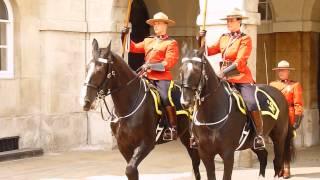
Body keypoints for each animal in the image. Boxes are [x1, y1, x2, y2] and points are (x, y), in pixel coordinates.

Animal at [80, 39, 200, 180]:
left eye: (100, 70)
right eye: (87, 68)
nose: (86, 101)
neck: (127, 106)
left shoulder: (147, 143)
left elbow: (130, 169)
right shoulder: (124, 145)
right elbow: (132, 171)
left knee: (196, 161)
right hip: (185, 134)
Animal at [179, 51, 294, 180]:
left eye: (196, 70)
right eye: (181, 70)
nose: (185, 101)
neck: (211, 114)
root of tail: (281, 94)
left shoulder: (228, 154)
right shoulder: (205, 153)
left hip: (279, 137)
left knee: (277, 162)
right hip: (253, 142)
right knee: (263, 156)